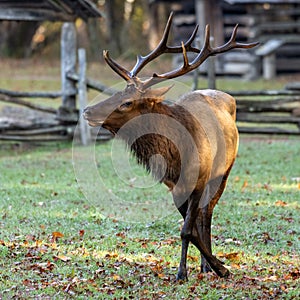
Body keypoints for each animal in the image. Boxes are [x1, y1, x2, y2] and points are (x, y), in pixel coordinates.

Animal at [82, 13, 258, 282]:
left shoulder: (199, 179)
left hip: (224, 172)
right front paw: (201, 267)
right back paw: (205, 266)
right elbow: (189, 227)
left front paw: (210, 269)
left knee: (208, 213)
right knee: (201, 216)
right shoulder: (173, 185)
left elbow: (188, 229)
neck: (176, 156)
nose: (87, 110)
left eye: (127, 102)